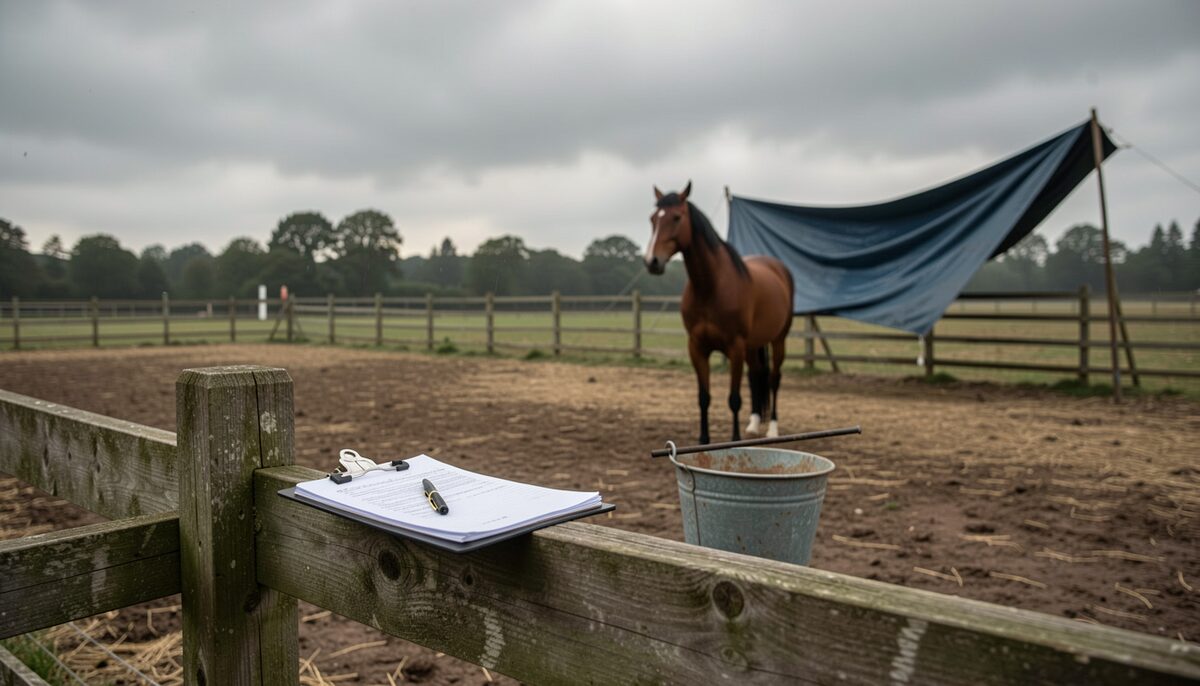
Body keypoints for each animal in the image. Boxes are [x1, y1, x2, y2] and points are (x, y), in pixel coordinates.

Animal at [644, 182, 795, 445]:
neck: (711, 287)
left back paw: (772, 430)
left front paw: (734, 440)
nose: (652, 261)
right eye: (653, 218)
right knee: (756, 375)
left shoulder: (734, 347)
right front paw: (703, 441)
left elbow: (734, 399)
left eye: (676, 217)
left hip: (778, 340)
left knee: (774, 379)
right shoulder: (697, 347)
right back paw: (754, 425)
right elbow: (704, 397)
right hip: (753, 345)